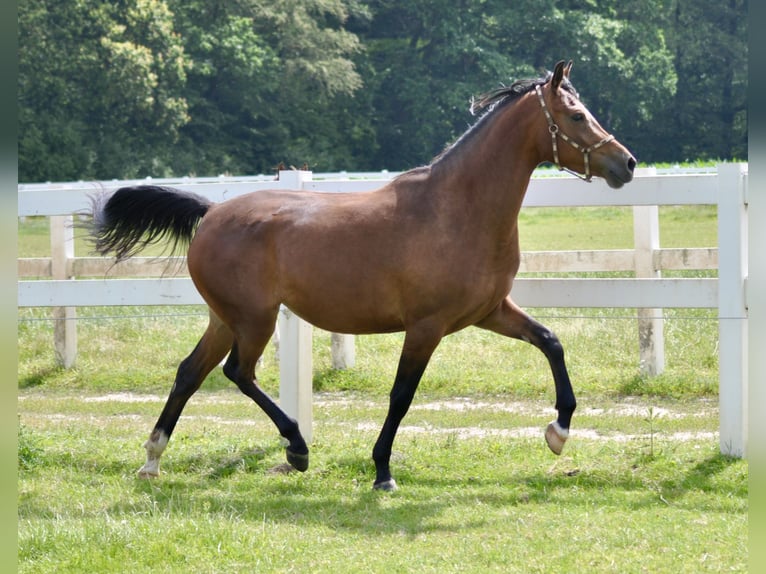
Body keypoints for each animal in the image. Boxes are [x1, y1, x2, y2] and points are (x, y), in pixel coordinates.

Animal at [90, 60, 636, 492]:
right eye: (576, 115)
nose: (626, 163)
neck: (456, 210)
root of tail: (210, 213)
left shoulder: (489, 311)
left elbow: (551, 342)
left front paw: (558, 433)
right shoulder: (426, 327)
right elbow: (401, 396)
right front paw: (382, 472)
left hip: (226, 318)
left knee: (190, 372)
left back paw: (153, 460)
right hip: (254, 319)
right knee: (237, 373)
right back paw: (296, 448)